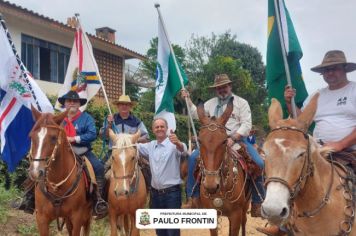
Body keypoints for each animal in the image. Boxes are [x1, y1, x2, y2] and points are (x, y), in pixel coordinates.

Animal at [28, 107, 92, 236]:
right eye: (31, 136)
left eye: (53, 138)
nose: (36, 172)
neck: (57, 187)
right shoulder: (42, 219)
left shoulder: (77, 218)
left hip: (87, 217)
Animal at [197, 97, 250, 236]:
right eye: (199, 141)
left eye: (225, 141)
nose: (211, 185)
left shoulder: (236, 215)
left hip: (245, 205)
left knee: (244, 221)